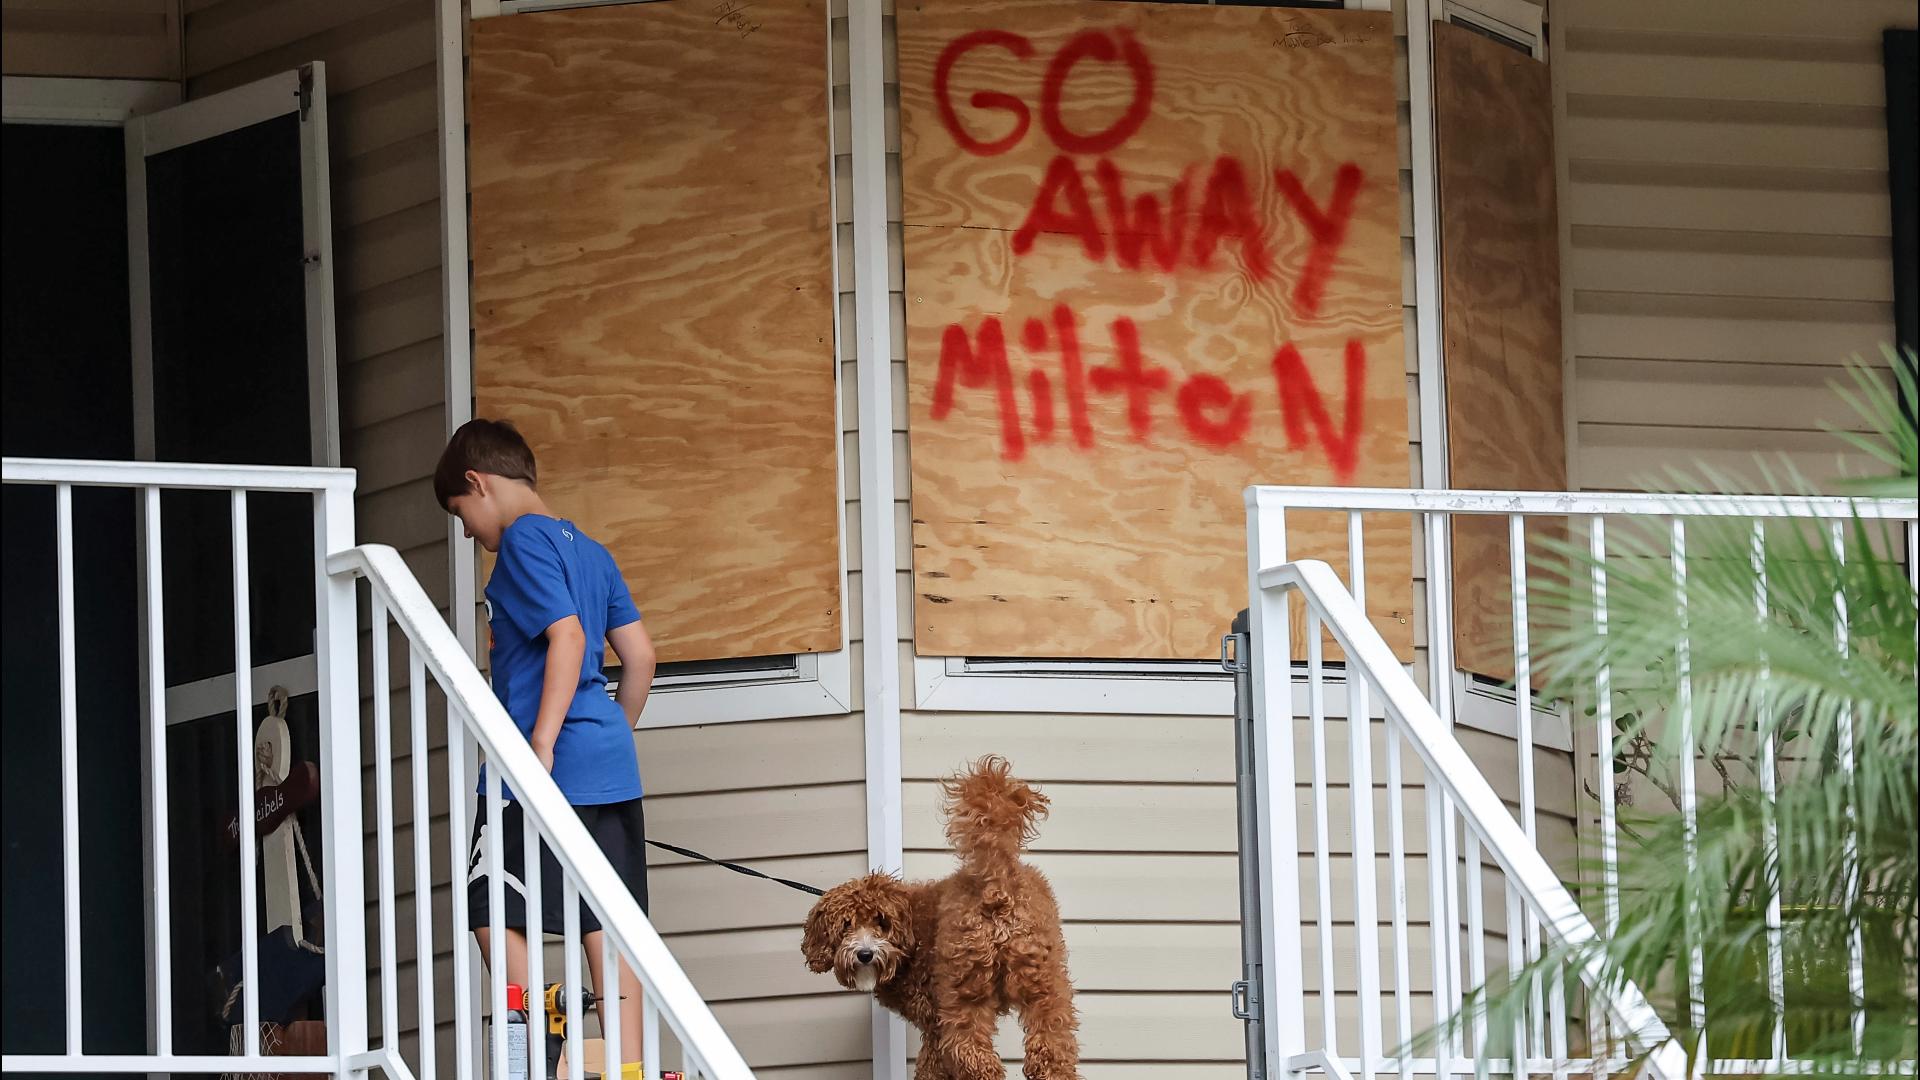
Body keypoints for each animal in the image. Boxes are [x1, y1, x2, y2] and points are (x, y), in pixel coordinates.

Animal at [798, 757, 1082, 1076]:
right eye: (846, 925)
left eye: (881, 923)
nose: (865, 954)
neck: (910, 941)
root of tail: (997, 883)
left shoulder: (934, 1021)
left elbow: (930, 1068)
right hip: (1043, 981)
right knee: (1052, 1046)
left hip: (962, 991)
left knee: (973, 1054)